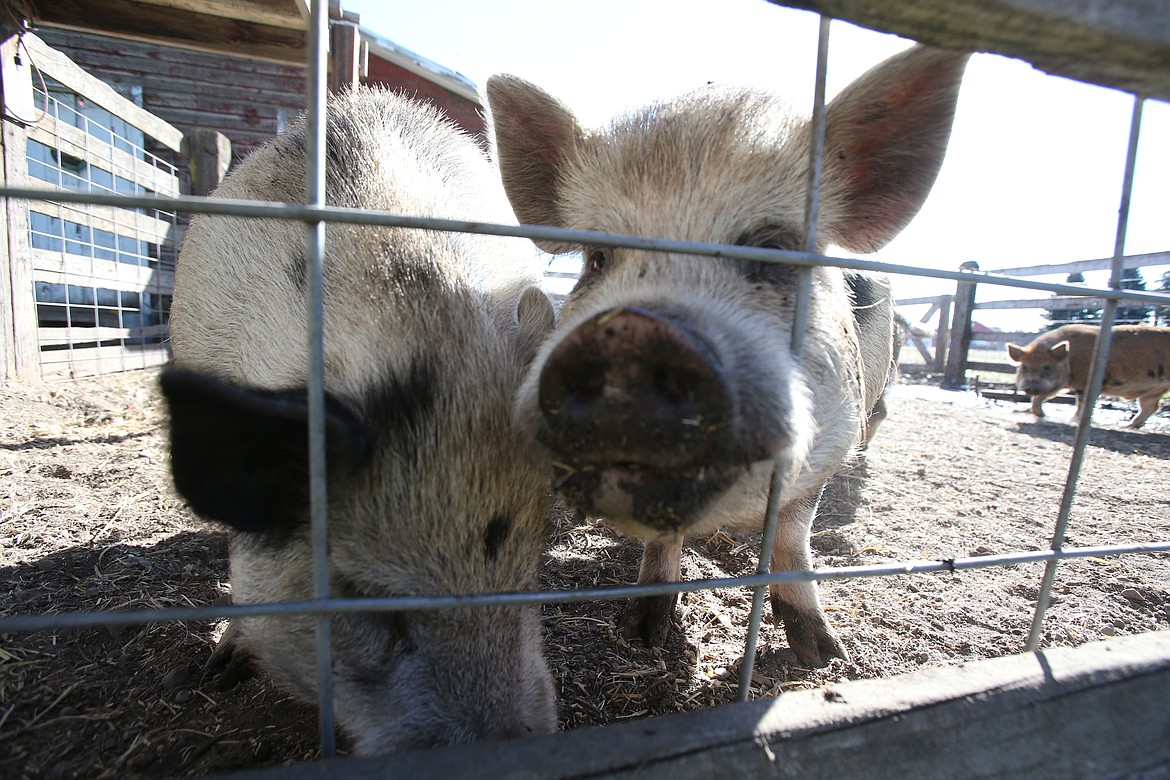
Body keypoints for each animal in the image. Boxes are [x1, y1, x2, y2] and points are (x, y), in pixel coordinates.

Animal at [486, 44, 968, 664]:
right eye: (597, 259)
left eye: (774, 250)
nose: (631, 334)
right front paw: (646, 633)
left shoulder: (826, 445)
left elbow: (792, 537)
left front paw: (824, 655)